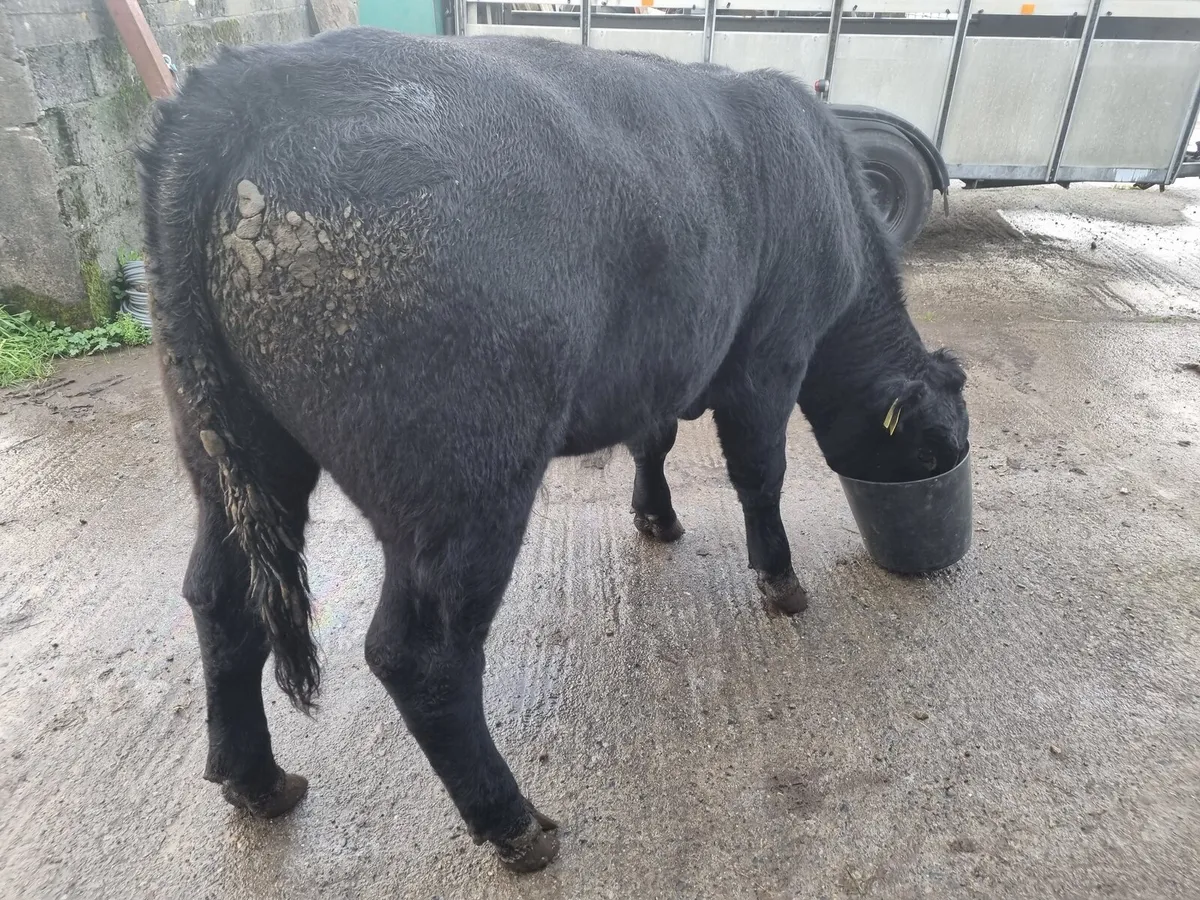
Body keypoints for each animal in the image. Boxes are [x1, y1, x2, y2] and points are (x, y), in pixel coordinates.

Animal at [136, 26, 968, 873]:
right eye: (935, 451)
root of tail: (255, 77)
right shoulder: (771, 358)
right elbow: (761, 475)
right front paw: (781, 581)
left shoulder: (658, 367)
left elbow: (654, 440)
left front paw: (656, 518)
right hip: (464, 480)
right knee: (420, 655)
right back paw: (512, 822)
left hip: (230, 454)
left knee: (218, 597)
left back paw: (257, 779)